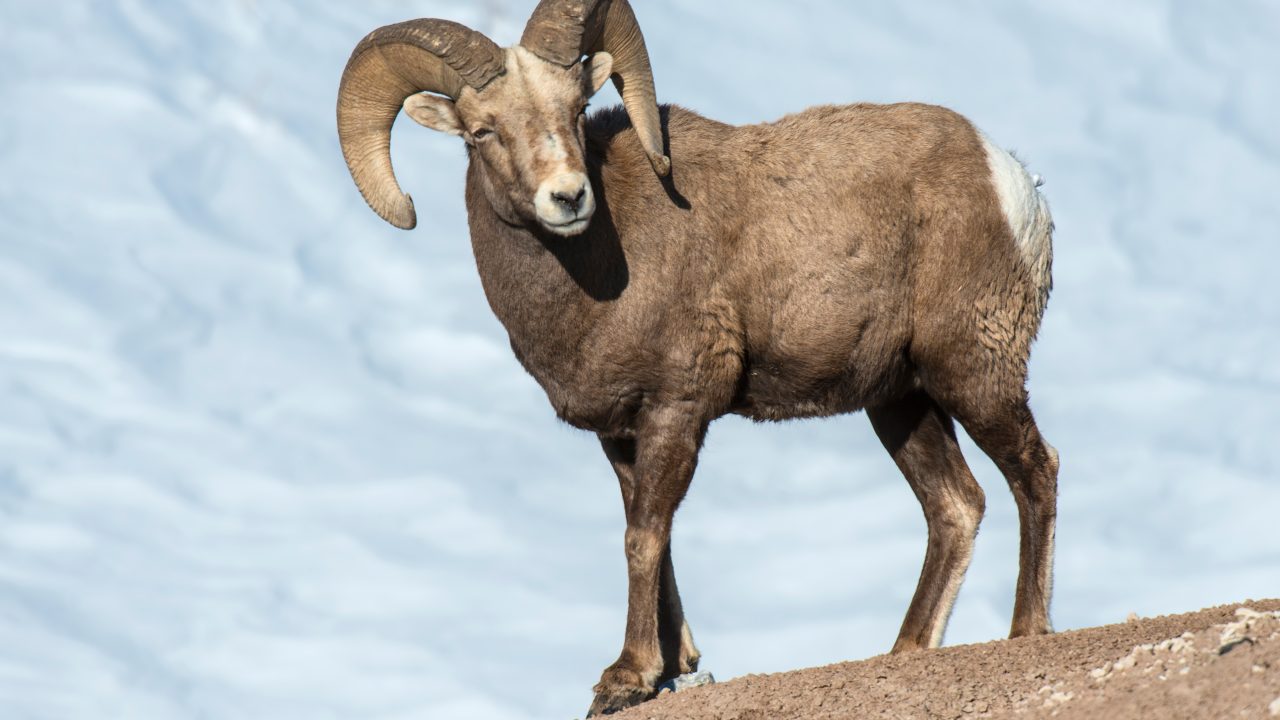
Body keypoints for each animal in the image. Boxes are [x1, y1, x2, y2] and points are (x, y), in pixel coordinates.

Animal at [336, 0, 1059, 715]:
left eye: (574, 111)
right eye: (482, 131)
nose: (568, 198)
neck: (596, 268)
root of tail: (1012, 180)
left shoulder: (676, 409)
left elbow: (644, 536)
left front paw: (625, 678)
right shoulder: (624, 433)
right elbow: (654, 537)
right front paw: (675, 667)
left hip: (972, 373)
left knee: (1035, 470)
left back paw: (1027, 629)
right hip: (901, 402)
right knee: (956, 506)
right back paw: (904, 650)